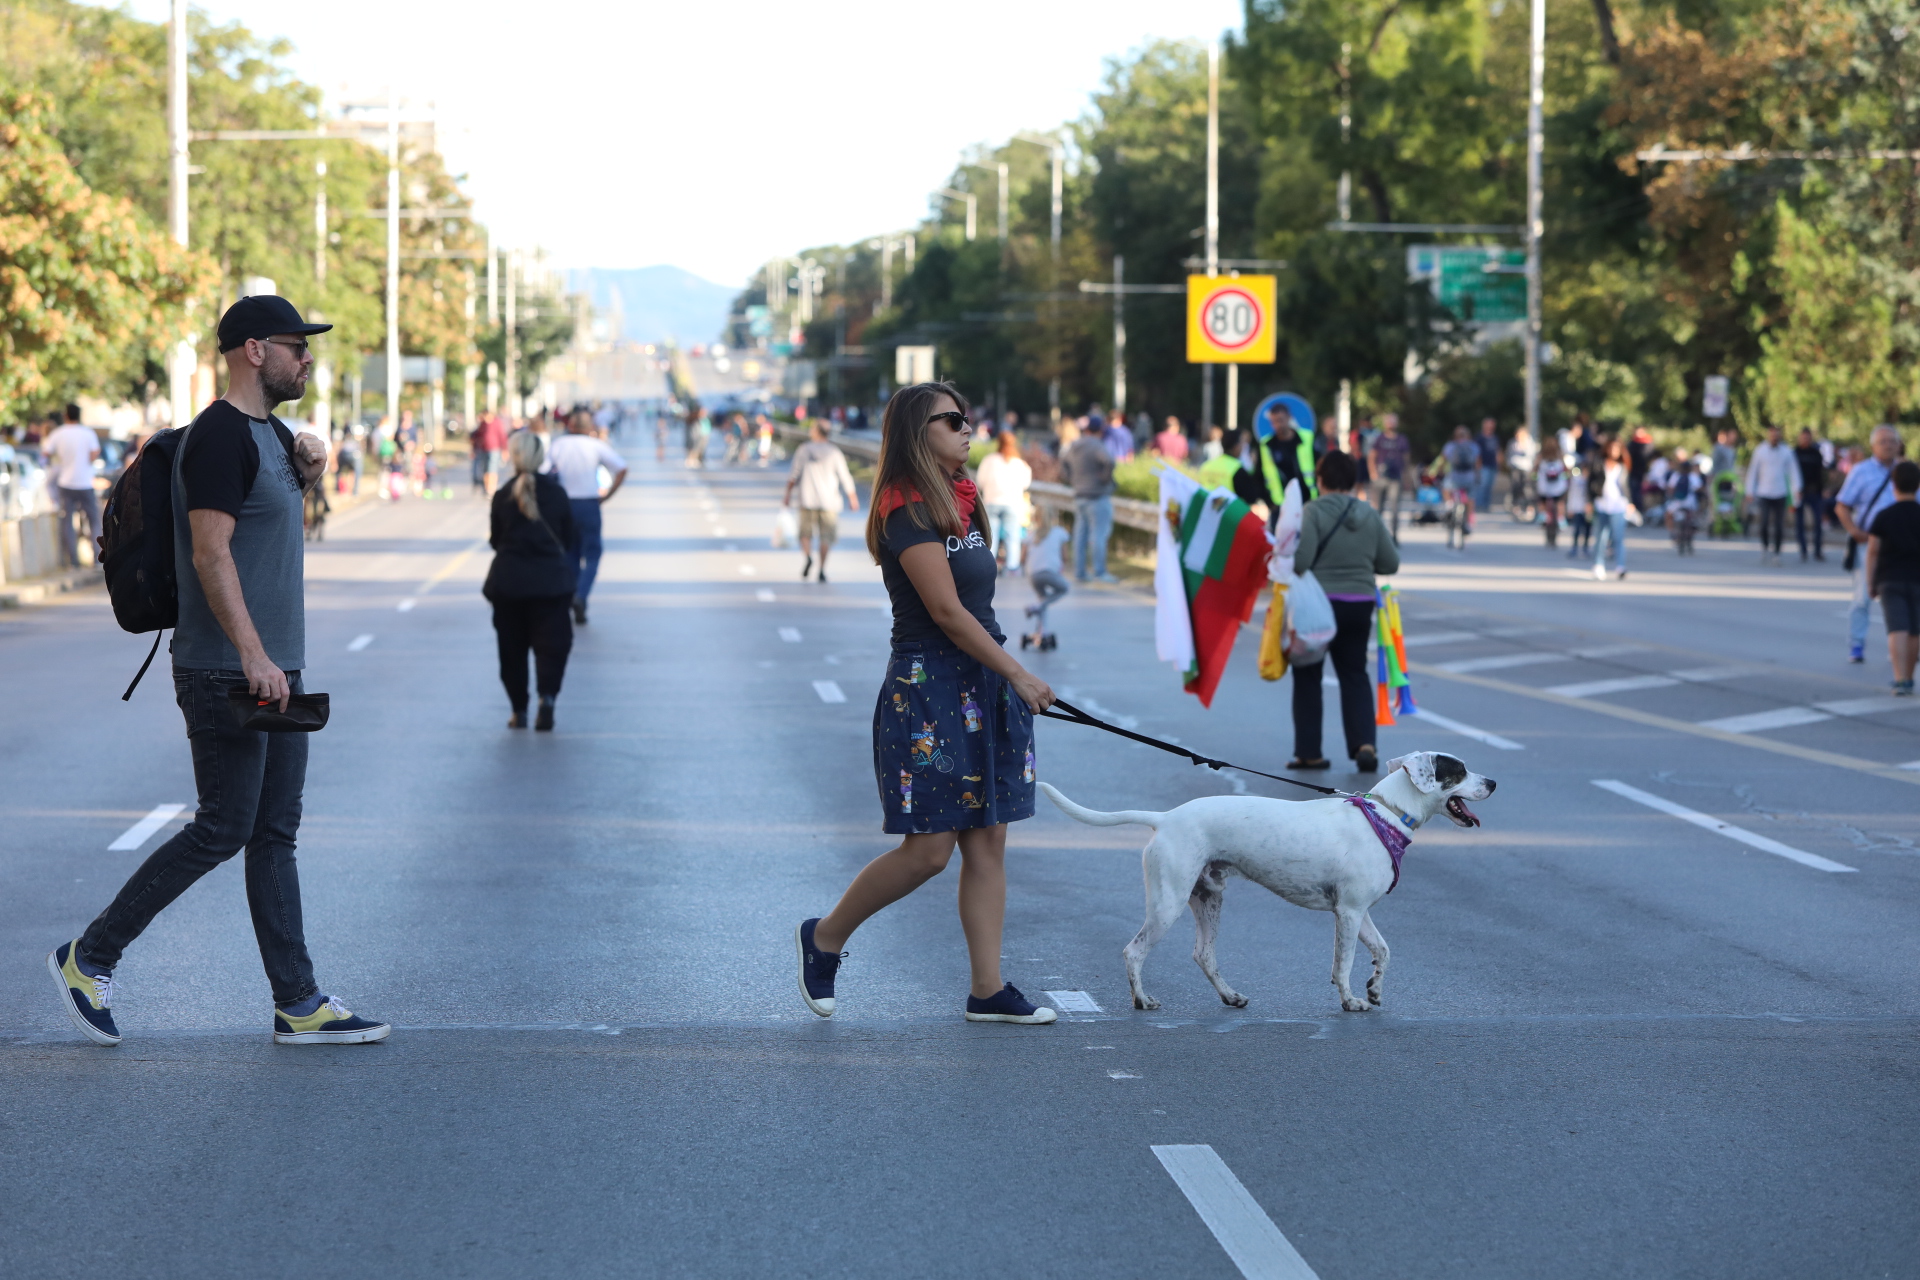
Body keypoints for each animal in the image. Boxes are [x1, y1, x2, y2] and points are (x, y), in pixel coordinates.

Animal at [1036, 752, 1497, 1013]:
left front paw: (1376, 989)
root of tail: (1165, 818)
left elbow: (1382, 951)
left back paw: (1230, 997)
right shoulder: (1348, 913)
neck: (1385, 813)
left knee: (1204, 955)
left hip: (1208, 897)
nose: (1493, 781)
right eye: (1459, 771)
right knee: (1134, 951)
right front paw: (1350, 1000)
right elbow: (1343, 964)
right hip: (1167, 903)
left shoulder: (1358, 911)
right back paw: (1142, 1000)